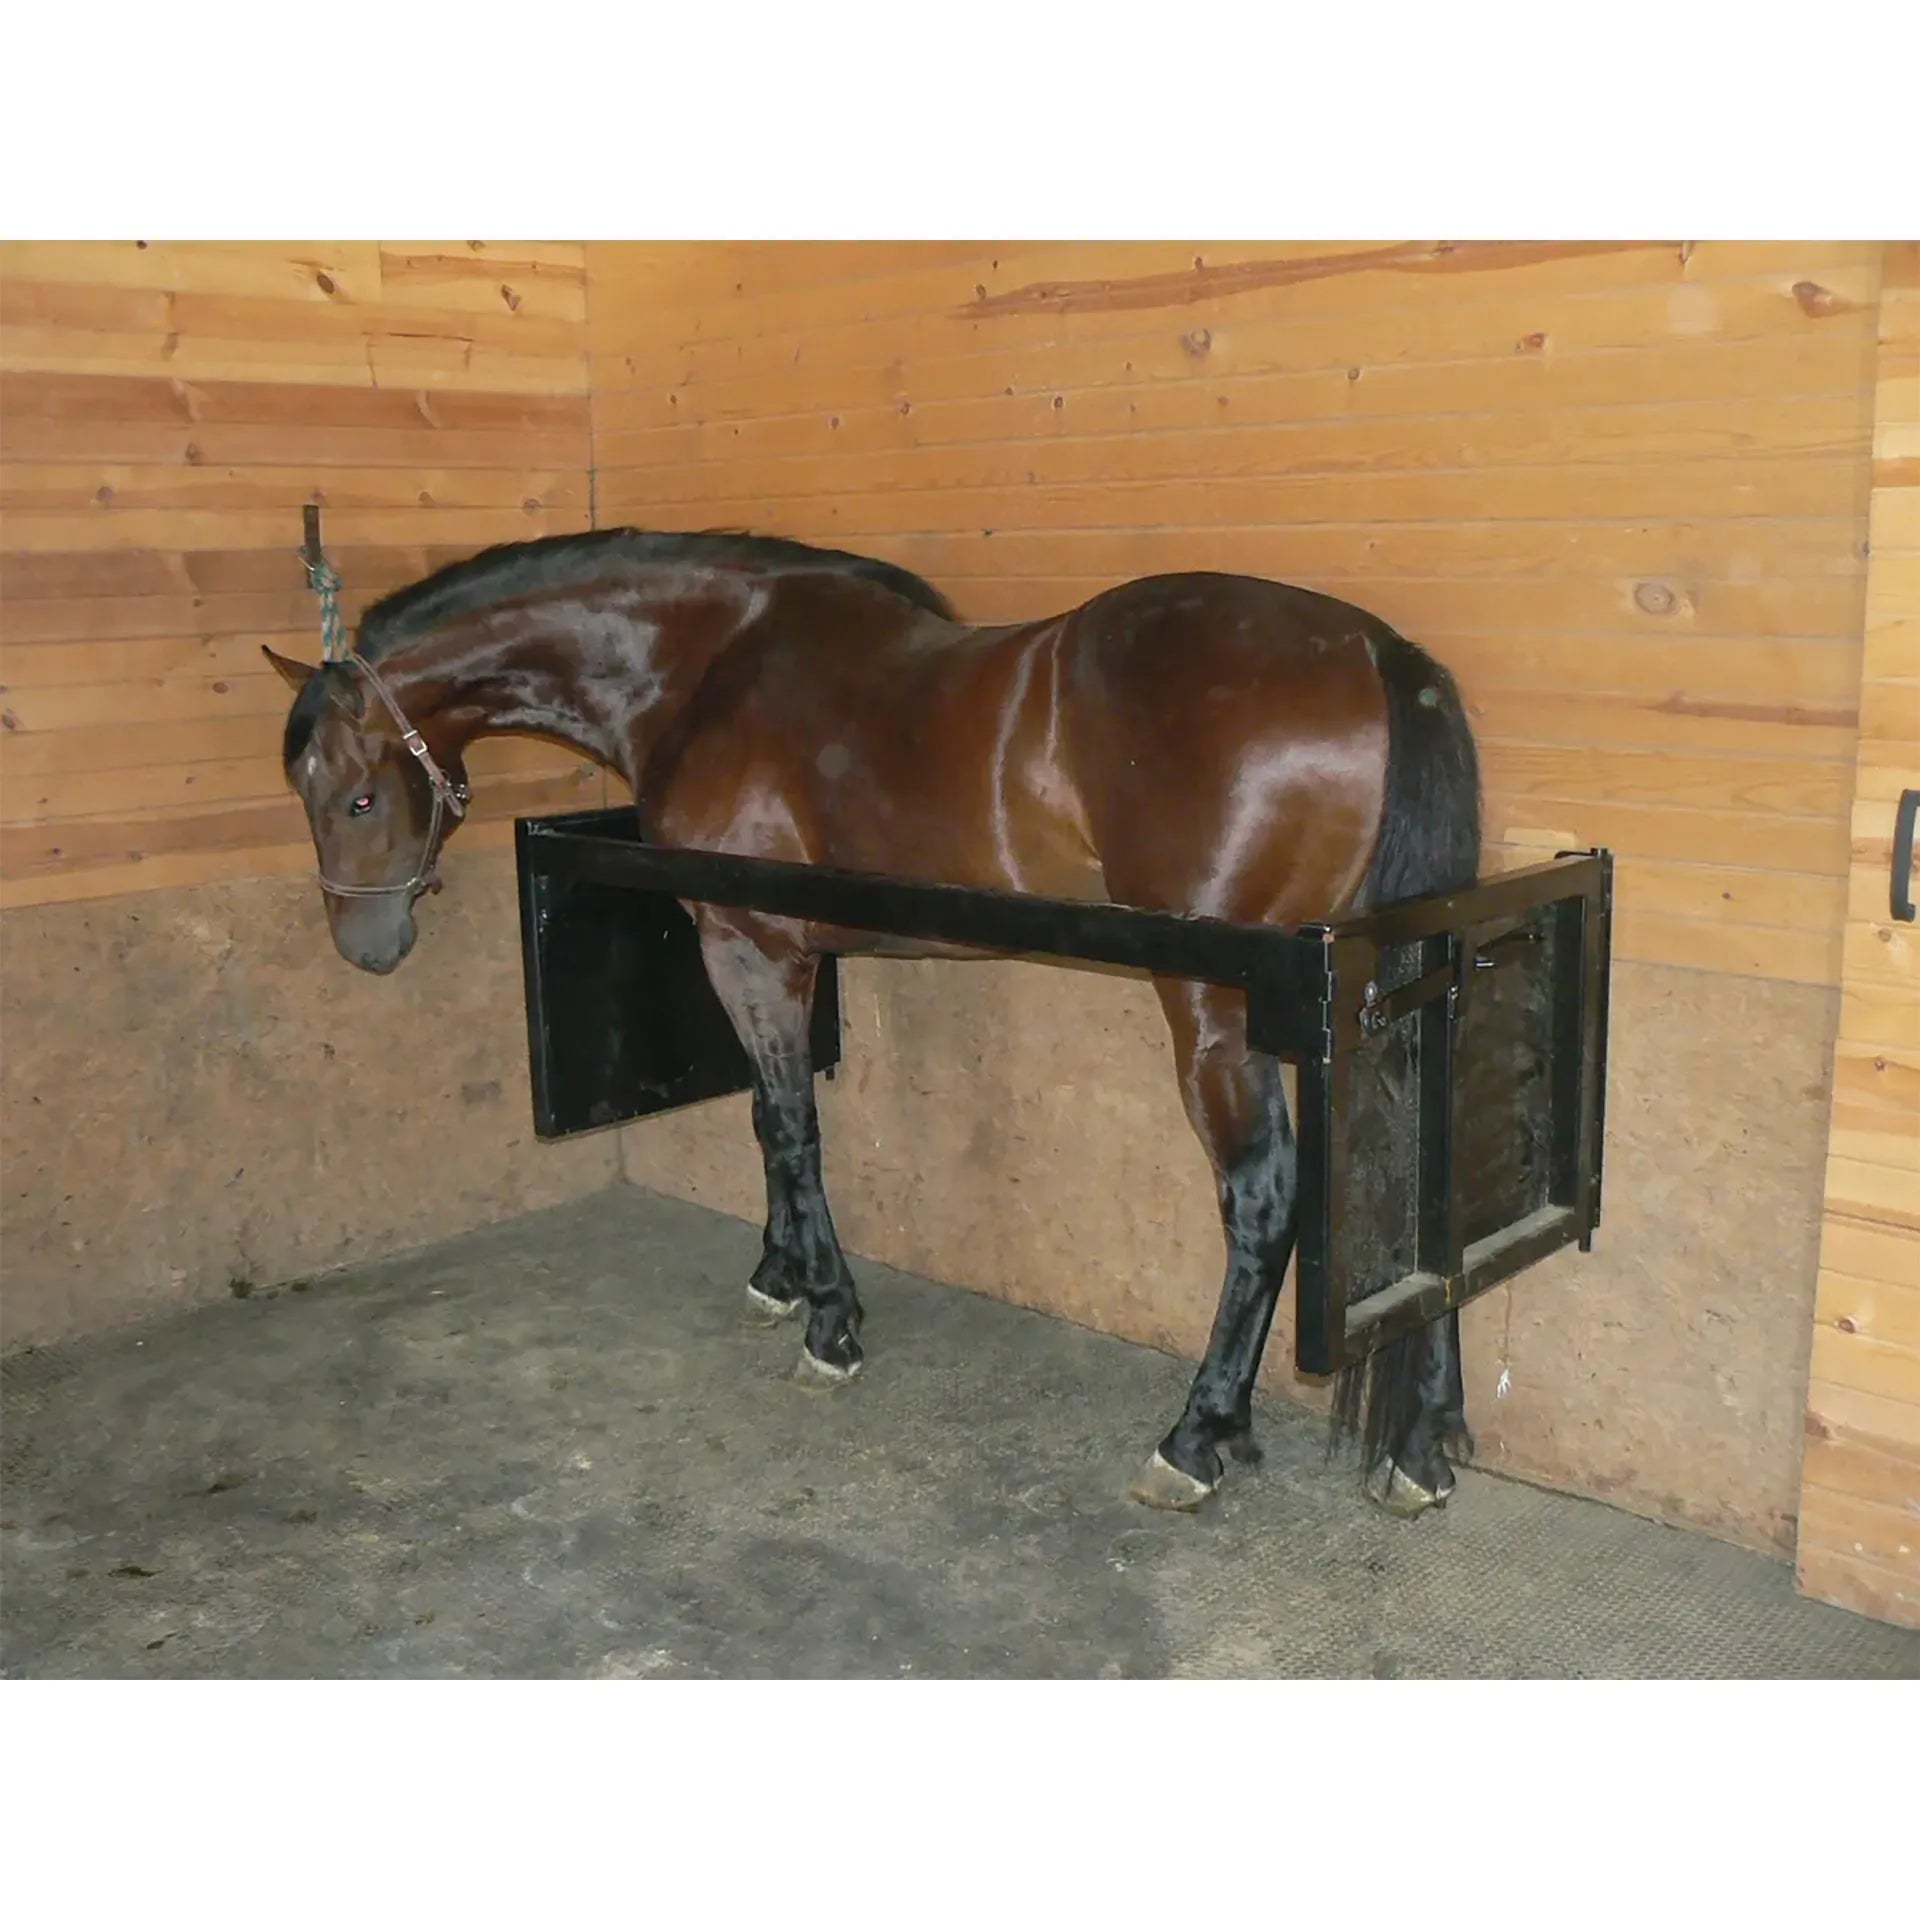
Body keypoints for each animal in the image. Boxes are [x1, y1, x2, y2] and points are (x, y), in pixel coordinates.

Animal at [266, 526, 1481, 1520]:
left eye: (360, 795)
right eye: (306, 792)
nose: (365, 946)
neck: (704, 665)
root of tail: (1374, 652)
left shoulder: (749, 945)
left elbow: (790, 1125)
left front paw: (829, 1322)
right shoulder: (779, 951)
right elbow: (772, 1120)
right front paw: (779, 1275)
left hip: (1213, 1012)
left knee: (1262, 1197)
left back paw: (1196, 1436)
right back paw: (1421, 1446)